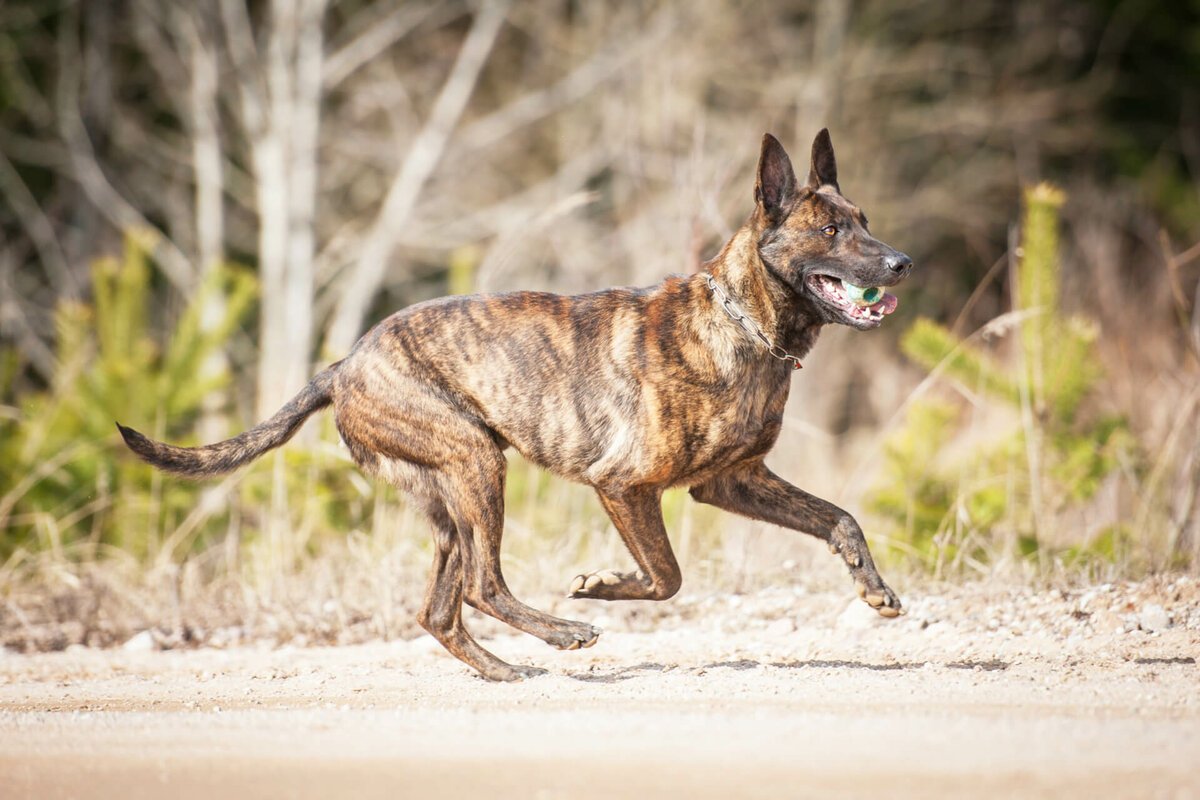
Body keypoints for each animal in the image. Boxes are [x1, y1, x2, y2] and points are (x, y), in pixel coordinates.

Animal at [119, 131, 907, 681]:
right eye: (831, 231)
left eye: (866, 219)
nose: (902, 263)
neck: (745, 326)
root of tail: (343, 365)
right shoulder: (624, 486)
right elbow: (666, 576)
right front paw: (600, 586)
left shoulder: (732, 482)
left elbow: (838, 517)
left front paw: (874, 589)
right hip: (476, 465)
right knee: (482, 584)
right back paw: (561, 634)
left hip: (446, 502)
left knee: (441, 607)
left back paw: (502, 670)